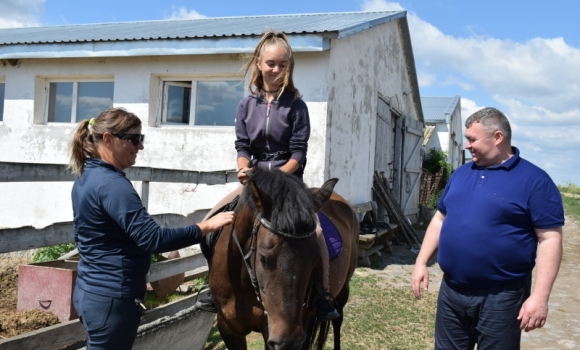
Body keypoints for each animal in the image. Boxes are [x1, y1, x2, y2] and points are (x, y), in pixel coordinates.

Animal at [206, 170, 360, 350]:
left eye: (316, 259)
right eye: (263, 258)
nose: (288, 341)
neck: (243, 285)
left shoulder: (272, 329)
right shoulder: (228, 328)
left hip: (341, 291)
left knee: (337, 321)